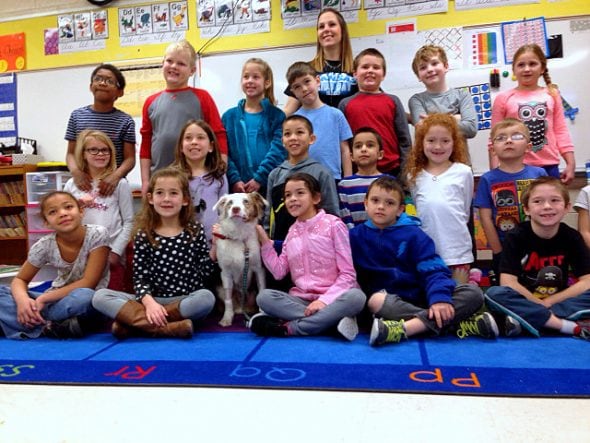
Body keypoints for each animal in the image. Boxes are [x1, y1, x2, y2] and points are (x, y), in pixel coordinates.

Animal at [213, 193, 268, 328]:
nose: (235, 209)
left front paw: (262, 313)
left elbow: (262, 290)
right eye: (230, 203)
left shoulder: (259, 269)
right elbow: (228, 300)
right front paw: (227, 318)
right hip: (219, 287)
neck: (239, 233)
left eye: (246, 201)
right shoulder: (225, 273)